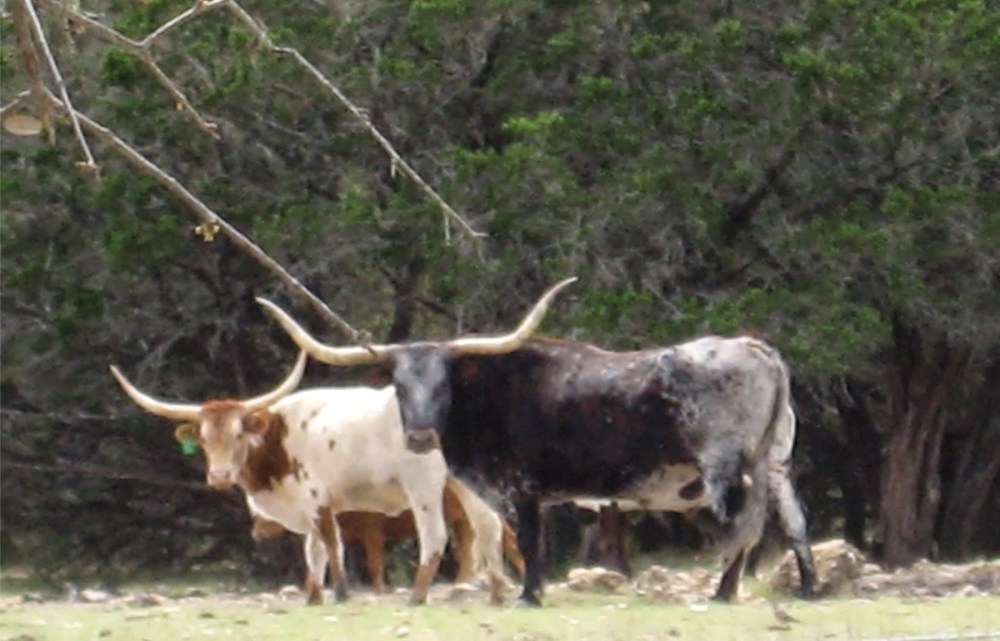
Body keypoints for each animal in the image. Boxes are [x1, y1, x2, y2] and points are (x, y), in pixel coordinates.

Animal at [109, 353, 517, 605]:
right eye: (206, 440)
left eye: (239, 435)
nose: (220, 475)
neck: (278, 437)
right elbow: (313, 550)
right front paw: (313, 597)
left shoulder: (319, 499)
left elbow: (330, 545)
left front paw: (340, 593)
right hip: (467, 483)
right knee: (489, 526)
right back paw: (497, 593)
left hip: (425, 486)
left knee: (435, 537)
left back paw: (418, 596)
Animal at [256, 278, 817, 605]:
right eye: (397, 382)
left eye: (444, 380)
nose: (418, 435)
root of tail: (755, 347)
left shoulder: (523, 489)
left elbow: (527, 541)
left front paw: (529, 595)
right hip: (774, 463)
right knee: (792, 520)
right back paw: (808, 588)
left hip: (726, 467)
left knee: (741, 525)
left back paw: (723, 591)